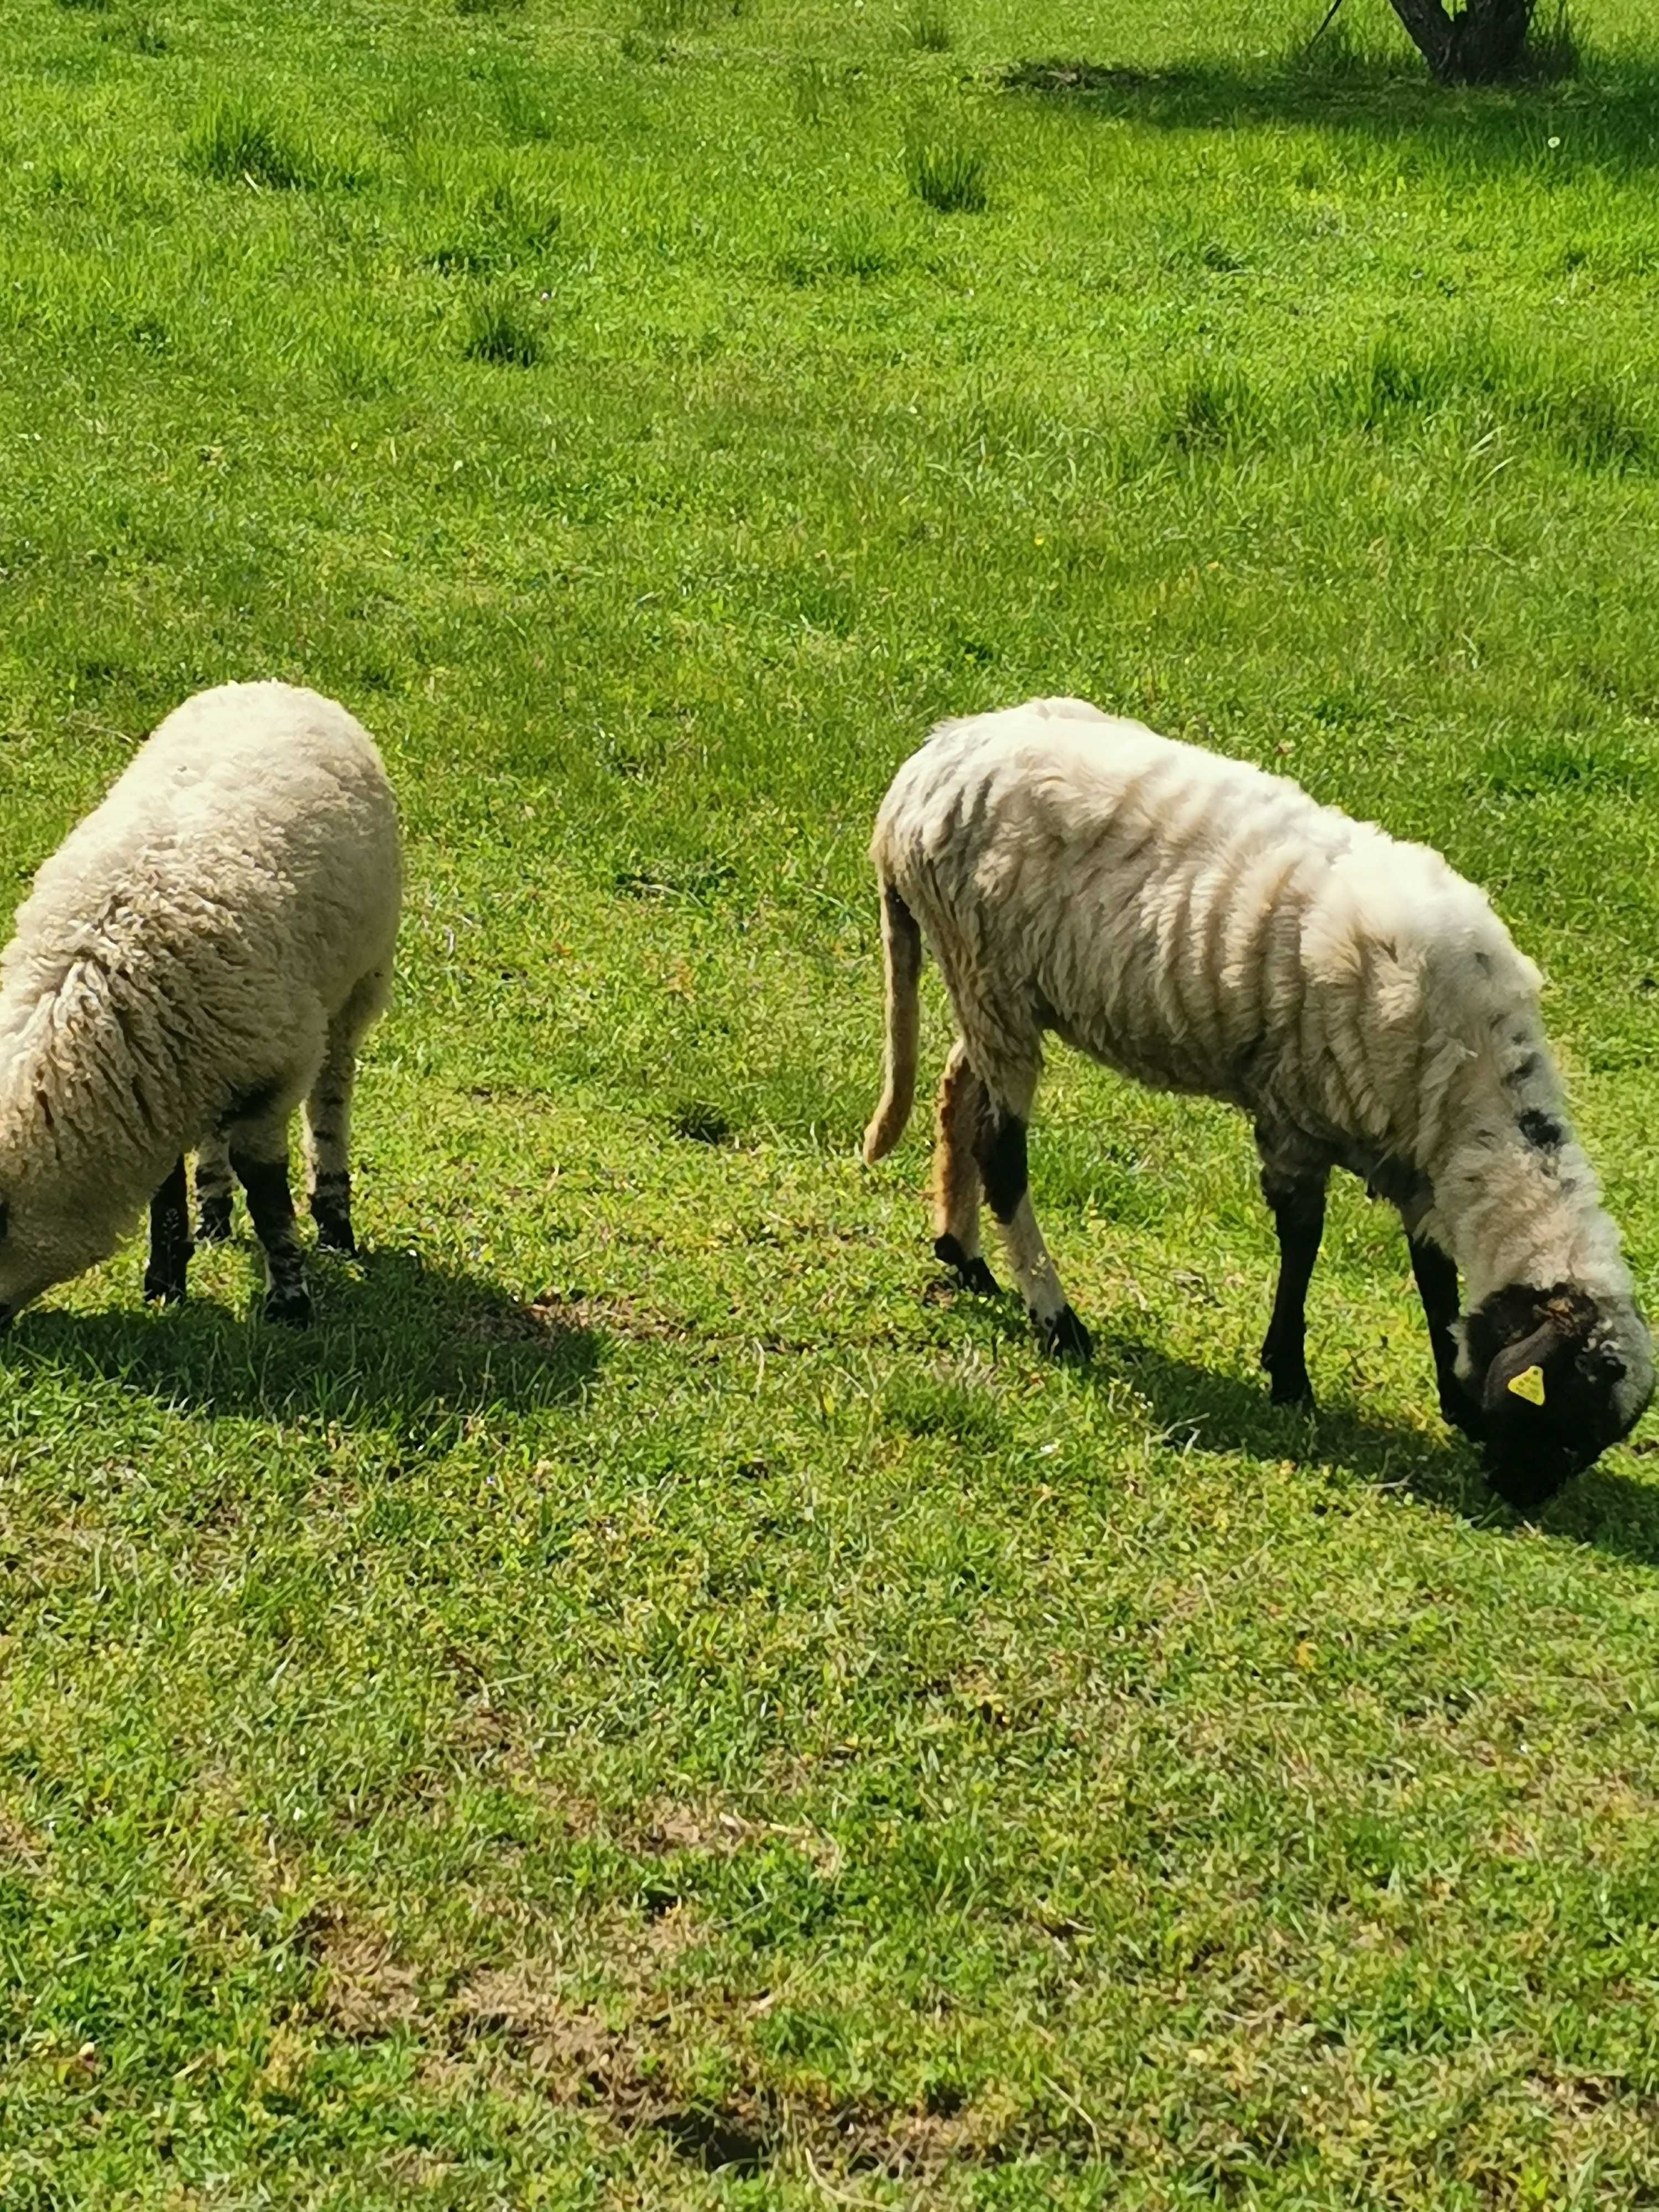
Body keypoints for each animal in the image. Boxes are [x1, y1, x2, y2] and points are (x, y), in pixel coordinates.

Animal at [0, 681, 400, 1318]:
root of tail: (274, 683)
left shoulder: (276, 1076)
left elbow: (266, 1187)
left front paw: (290, 1301)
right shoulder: (163, 1074)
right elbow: (167, 1188)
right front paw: (166, 1280)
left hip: (359, 983)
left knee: (332, 1097)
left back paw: (336, 1223)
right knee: (215, 1132)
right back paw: (213, 1216)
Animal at [872, 699, 1655, 1513]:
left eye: (1587, 1442)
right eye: (1559, 1412)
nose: (1517, 1498)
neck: (1477, 1095)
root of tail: (926, 767)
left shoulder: (1408, 1158)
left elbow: (1433, 1273)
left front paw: (1454, 1398)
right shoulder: (1298, 1116)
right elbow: (1304, 1242)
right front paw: (1290, 1376)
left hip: (993, 996)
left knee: (959, 1092)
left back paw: (963, 1255)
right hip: (989, 971)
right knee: (1003, 1153)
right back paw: (1057, 1319)